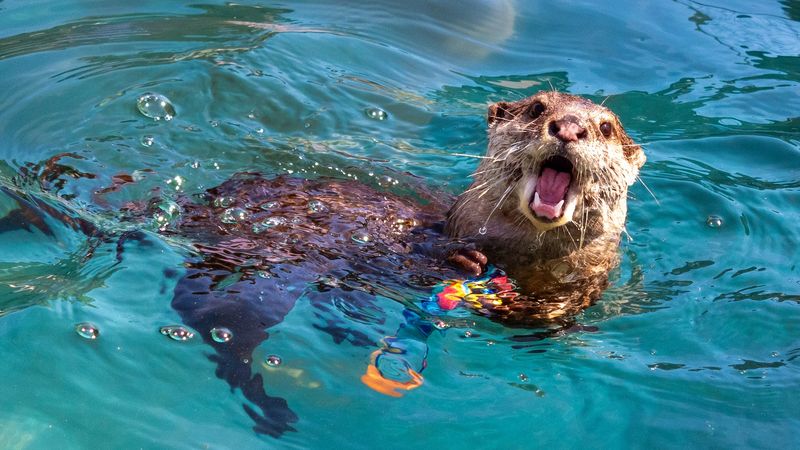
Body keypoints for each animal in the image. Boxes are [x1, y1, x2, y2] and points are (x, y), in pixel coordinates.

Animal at [160, 91, 644, 435]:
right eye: (539, 107)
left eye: (605, 127)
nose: (569, 128)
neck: (521, 259)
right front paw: (464, 261)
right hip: (262, 278)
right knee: (223, 325)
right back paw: (273, 408)